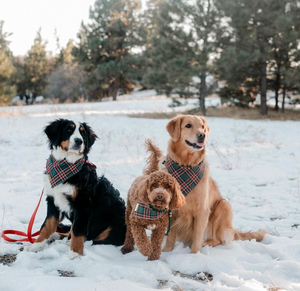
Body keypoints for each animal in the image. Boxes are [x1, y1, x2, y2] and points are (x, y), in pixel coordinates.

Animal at [27, 118, 126, 260]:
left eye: (83, 133)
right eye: (69, 129)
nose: (79, 141)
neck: (66, 165)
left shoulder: (82, 204)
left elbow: (78, 232)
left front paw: (75, 255)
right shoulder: (53, 200)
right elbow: (47, 226)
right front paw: (35, 246)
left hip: (116, 224)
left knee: (96, 239)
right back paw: (57, 236)